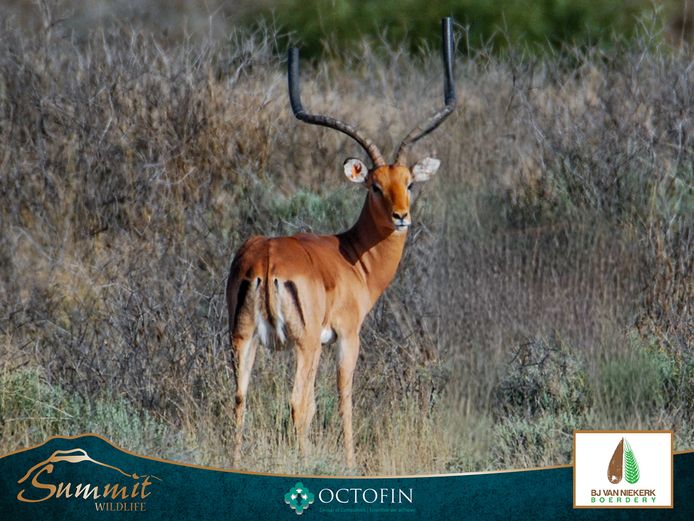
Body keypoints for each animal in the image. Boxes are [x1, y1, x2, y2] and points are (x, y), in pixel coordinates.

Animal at [226, 18, 457, 468]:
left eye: (409, 183)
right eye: (374, 186)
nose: (401, 217)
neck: (352, 258)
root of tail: (266, 260)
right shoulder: (348, 337)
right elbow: (344, 398)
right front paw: (352, 463)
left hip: (242, 339)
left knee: (240, 399)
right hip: (304, 345)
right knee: (299, 402)